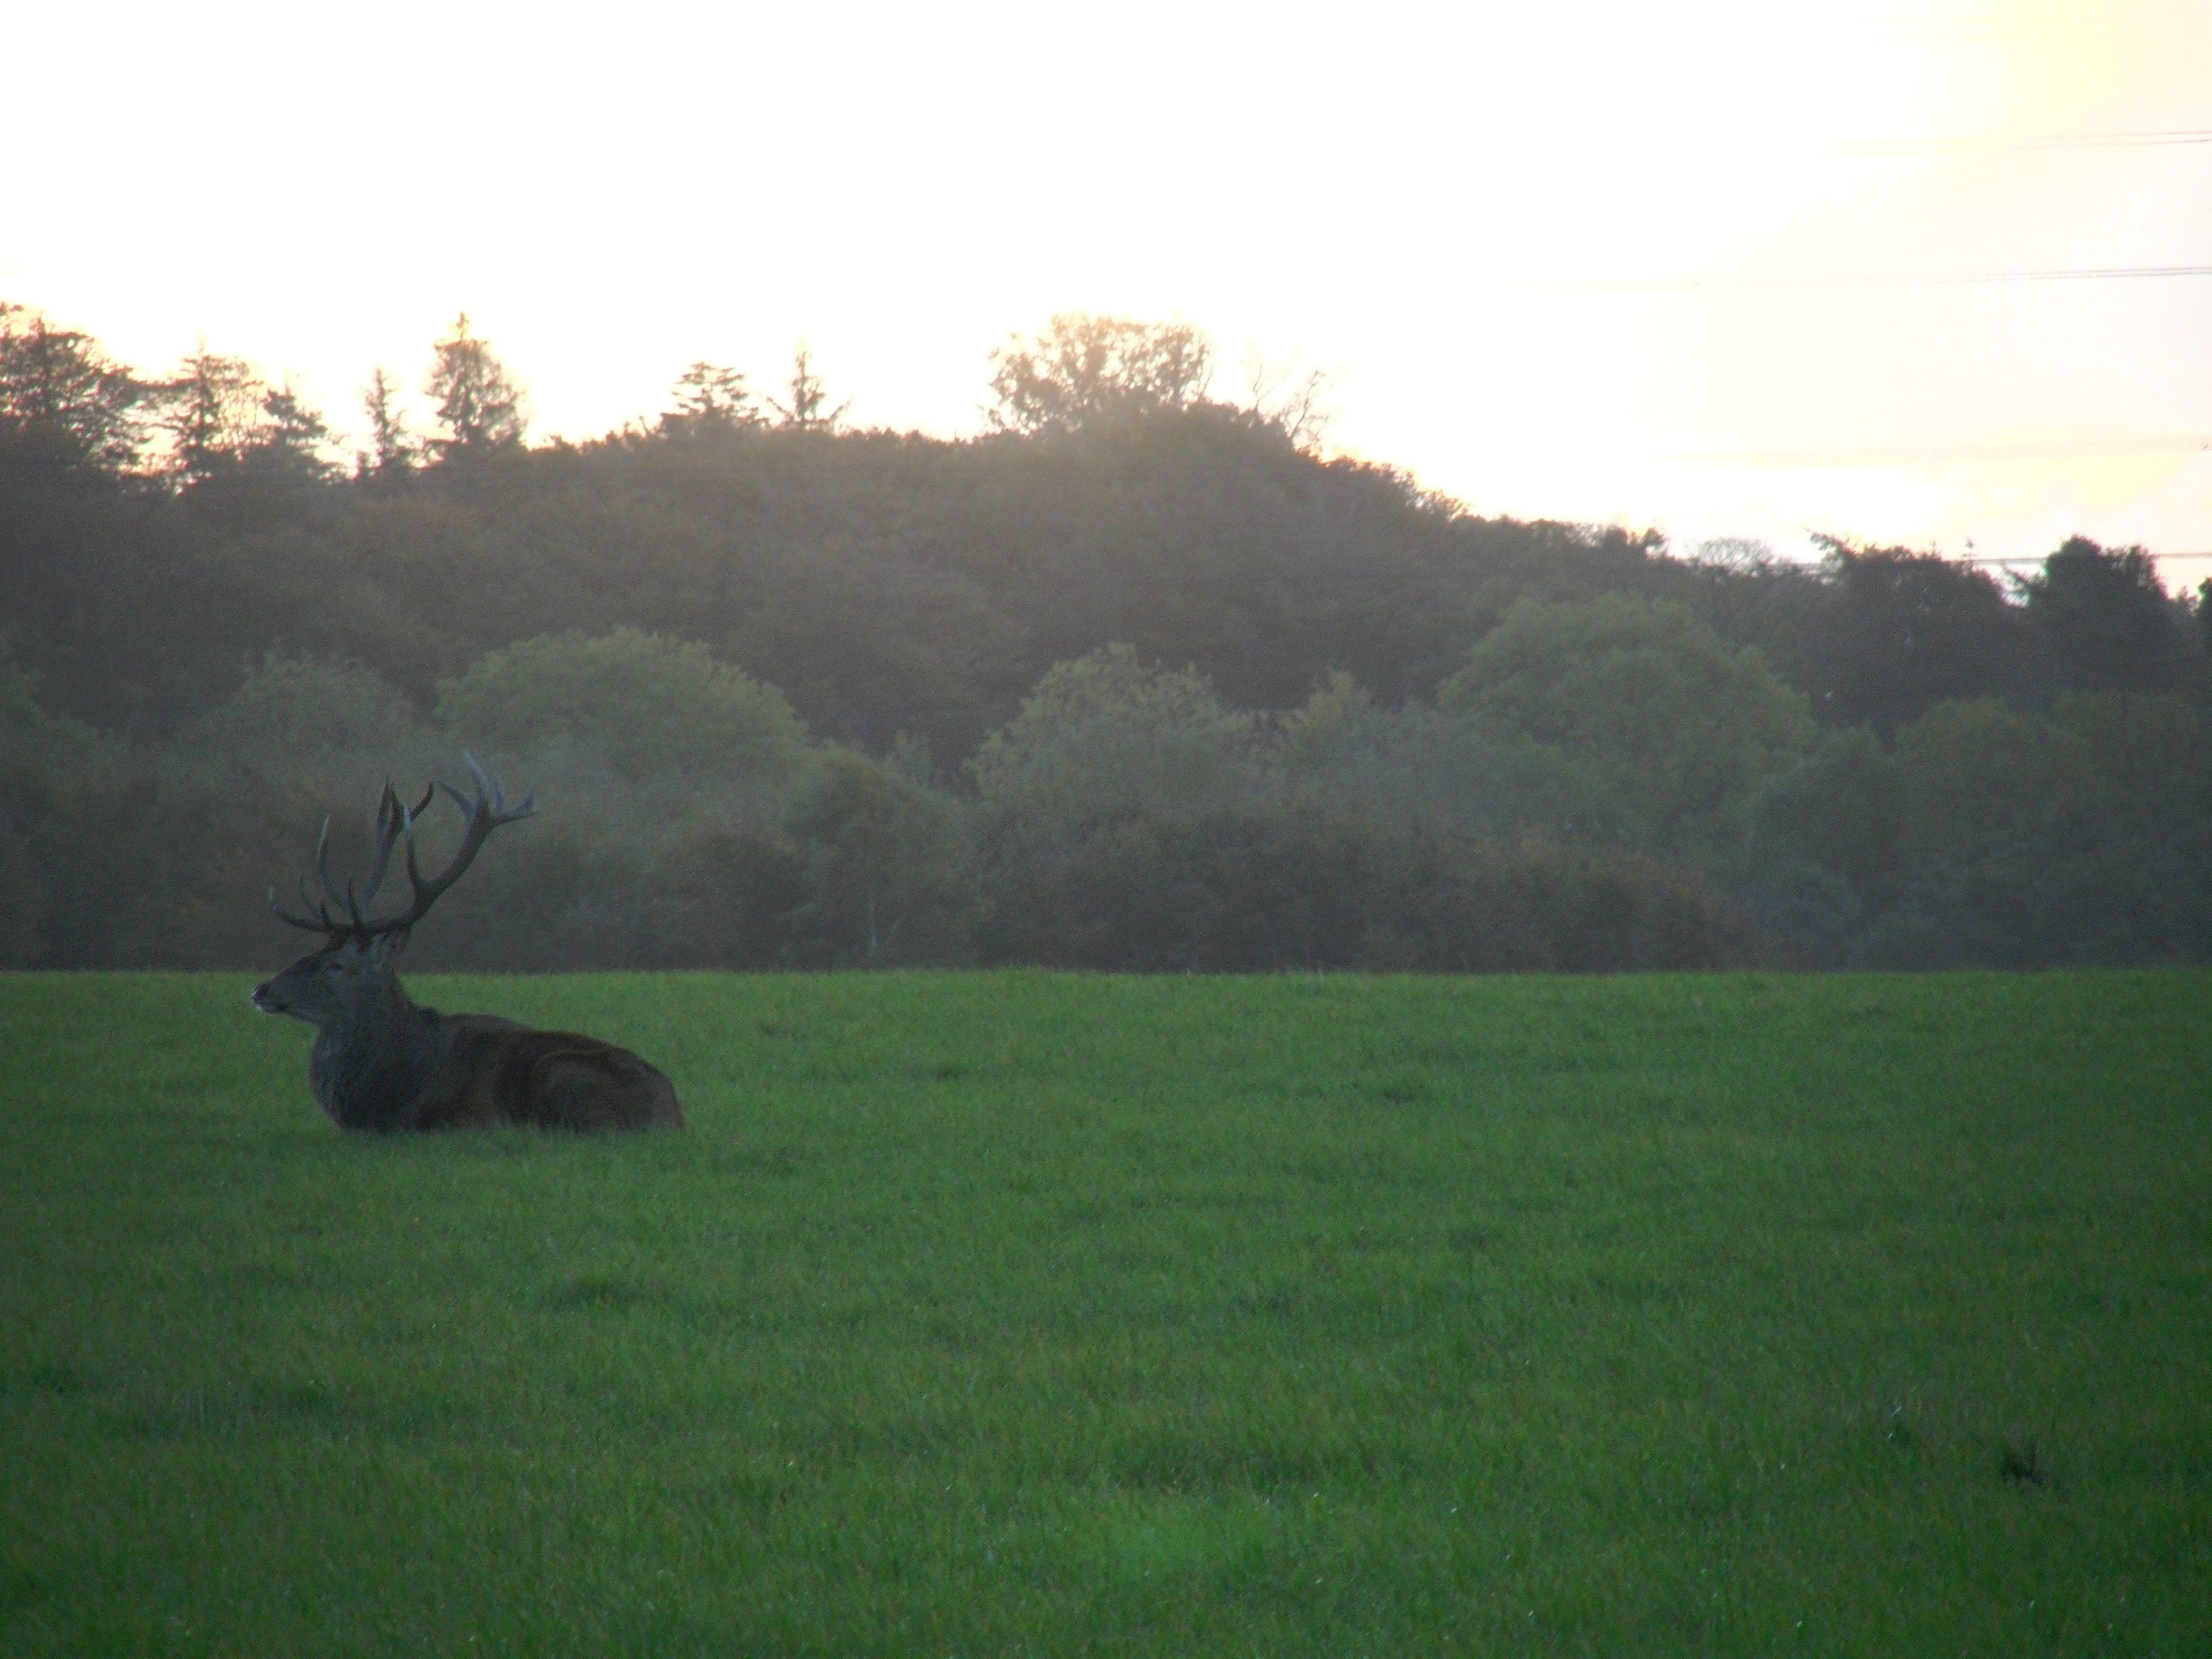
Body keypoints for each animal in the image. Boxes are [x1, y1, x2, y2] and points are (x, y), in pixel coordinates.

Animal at [250, 756, 684, 1133]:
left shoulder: (473, 1116)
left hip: (562, 1073)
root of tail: (673, 1116)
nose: (261, 990)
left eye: (337, 965)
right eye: (309, 953)